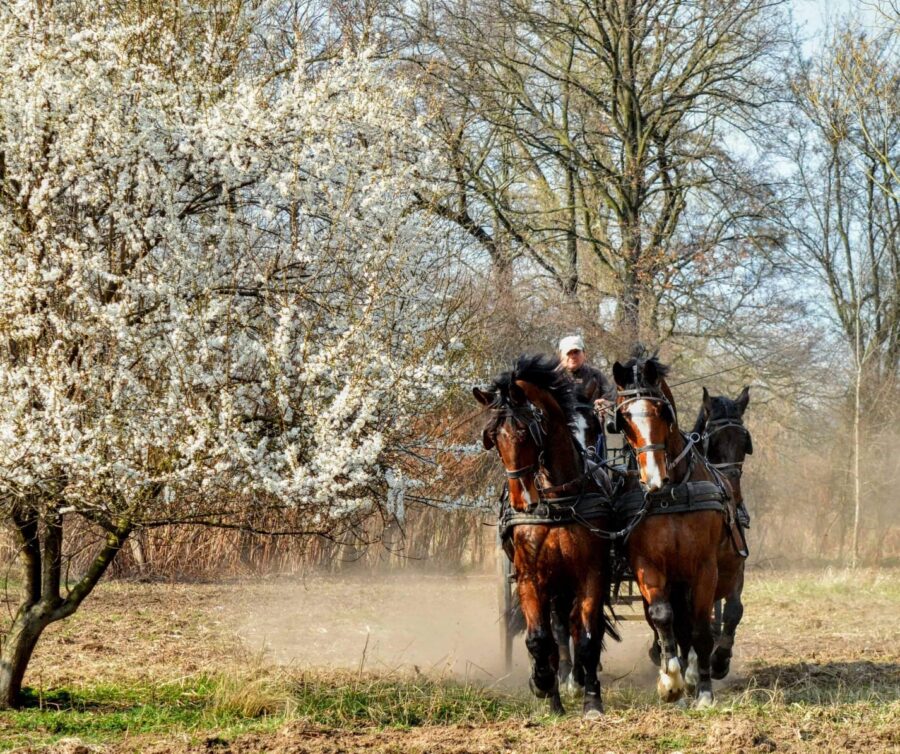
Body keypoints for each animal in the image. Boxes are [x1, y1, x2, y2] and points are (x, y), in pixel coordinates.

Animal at [472, 356, 620, 712]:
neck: (559, 498)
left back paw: (576, 679)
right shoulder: (530, 575)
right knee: (557, 628)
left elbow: (589, 637)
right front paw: (544, 689)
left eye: (526, 431)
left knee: (575, 626)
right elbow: (541, 638)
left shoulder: (592, 572)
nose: (520, 500)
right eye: (493, 437)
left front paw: (592, 701)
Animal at [608, 352, 728, 704]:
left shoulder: (704, 565)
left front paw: (703, 690)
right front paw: (670, 680)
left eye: (662, 411)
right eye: (623, 418)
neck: (671, 492)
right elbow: (662, 616)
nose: (653, 478)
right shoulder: (646, 564)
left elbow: (700, 626)